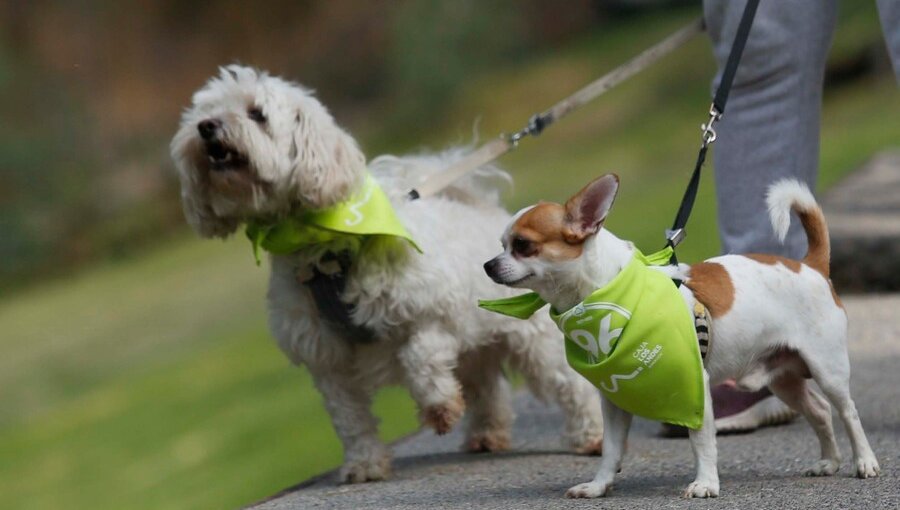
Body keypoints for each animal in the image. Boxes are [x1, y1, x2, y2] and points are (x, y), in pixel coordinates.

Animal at [171, 64, 604, 482]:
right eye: (203, 112)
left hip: (529, 340)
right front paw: (364, 464)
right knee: (486, 386)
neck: (324, 246)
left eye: (256, 114)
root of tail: (480, 205)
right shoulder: (326, 358)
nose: (206, 127)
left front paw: (438, 407)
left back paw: (591, 435)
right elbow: (349, 419)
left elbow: (419, 358)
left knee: (567, 384)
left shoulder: (432, 314)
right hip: (476, 346)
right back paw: (486, 434)